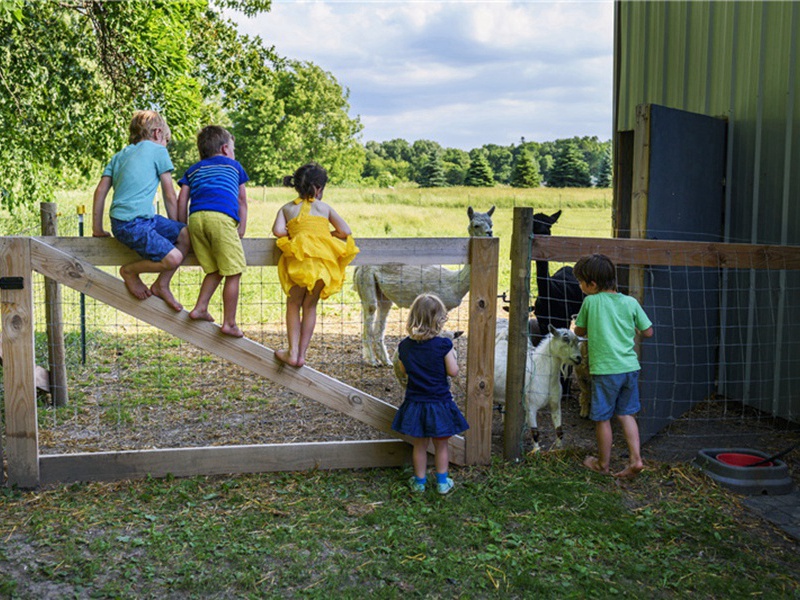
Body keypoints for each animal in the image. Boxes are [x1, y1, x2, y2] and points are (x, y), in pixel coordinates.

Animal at [354, 205, 494, 366]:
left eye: (491, 224)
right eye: (476, 225)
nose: (490, 233)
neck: (453, 283)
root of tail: (358, 267)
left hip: (383, 296)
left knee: (381, 320)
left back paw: (385, 361)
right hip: (367, 282)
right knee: (370, 315)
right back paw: (372, 361)